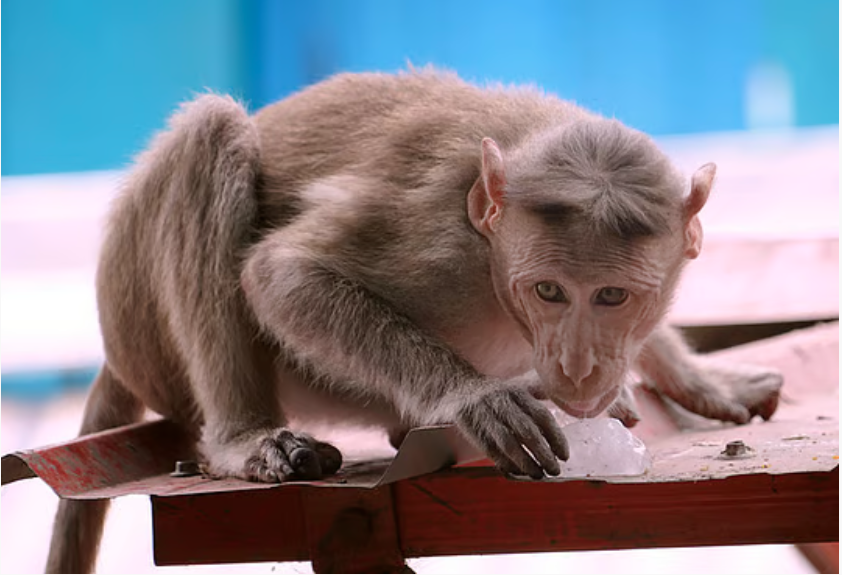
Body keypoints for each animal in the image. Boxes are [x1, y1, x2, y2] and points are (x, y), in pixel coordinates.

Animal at [44, 68, 783, 573]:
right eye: (549, 291)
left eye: (612, 297)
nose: (579, 367)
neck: (494, 256)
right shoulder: (435, 243)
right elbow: (284, 274)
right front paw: (475, 399)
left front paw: (700, 379)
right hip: (144, 323)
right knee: (212, 132)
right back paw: (245, 437)